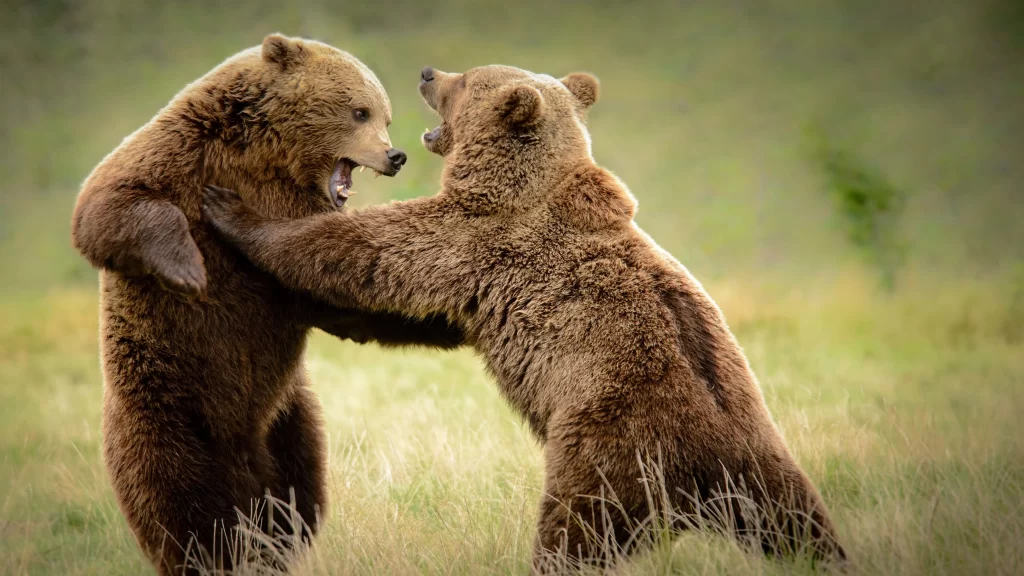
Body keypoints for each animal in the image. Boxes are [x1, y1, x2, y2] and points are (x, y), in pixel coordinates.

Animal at [70, 34, 462, 575]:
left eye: (383, 114)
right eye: (360, 111)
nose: (395, 154)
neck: (269, 160)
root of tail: (242, 454)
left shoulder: (301, 219)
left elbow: (339, 285)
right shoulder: (180, 154)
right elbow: (108, 205)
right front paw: (189, 270)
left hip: (289, 422)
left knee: (298, 498)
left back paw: (272, 545)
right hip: (166, 409)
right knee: (179, 500)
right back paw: (212, 552)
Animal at [200, 64, 846, 571]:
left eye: (467, 80)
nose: (428, 72)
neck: (515, 183)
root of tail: (711, 463)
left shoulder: (479, 240)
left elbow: (374, 253)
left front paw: (233, 212)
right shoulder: (479, 277)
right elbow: (423, 316)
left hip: (608, 444)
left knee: (575, 532)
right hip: (767, 469)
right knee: (799, 527)